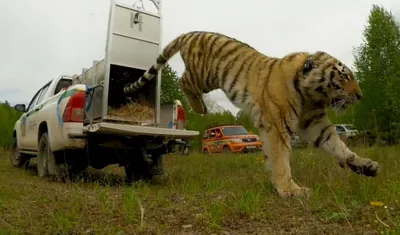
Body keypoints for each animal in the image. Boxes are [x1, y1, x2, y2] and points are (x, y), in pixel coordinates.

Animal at [123, 30, 380, 197]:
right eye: (344, 77)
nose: (360, 96)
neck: (310, 93)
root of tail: (192, 33)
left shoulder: (316, 124)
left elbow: (340, 147)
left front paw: (365, 165)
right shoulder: (278, 125)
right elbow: (281, 159)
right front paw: (290, 190)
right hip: (203, 75)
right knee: (183, 80)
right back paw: (200, 108)